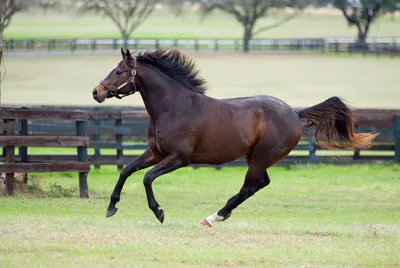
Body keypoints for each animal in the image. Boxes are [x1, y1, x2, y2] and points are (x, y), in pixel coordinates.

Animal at [91, 47, 378, 227]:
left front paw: (159, 212)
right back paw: (218, 216)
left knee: (250, 186)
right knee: (260, 183)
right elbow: (126, 170)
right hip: (255, 157)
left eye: (118, 71)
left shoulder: (179, 158)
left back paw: (213, 217)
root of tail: (295, 114)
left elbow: (147, 178)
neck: (175, 107)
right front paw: (111, 207)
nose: (96, 92)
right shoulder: (155, 153)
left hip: (260, 157)